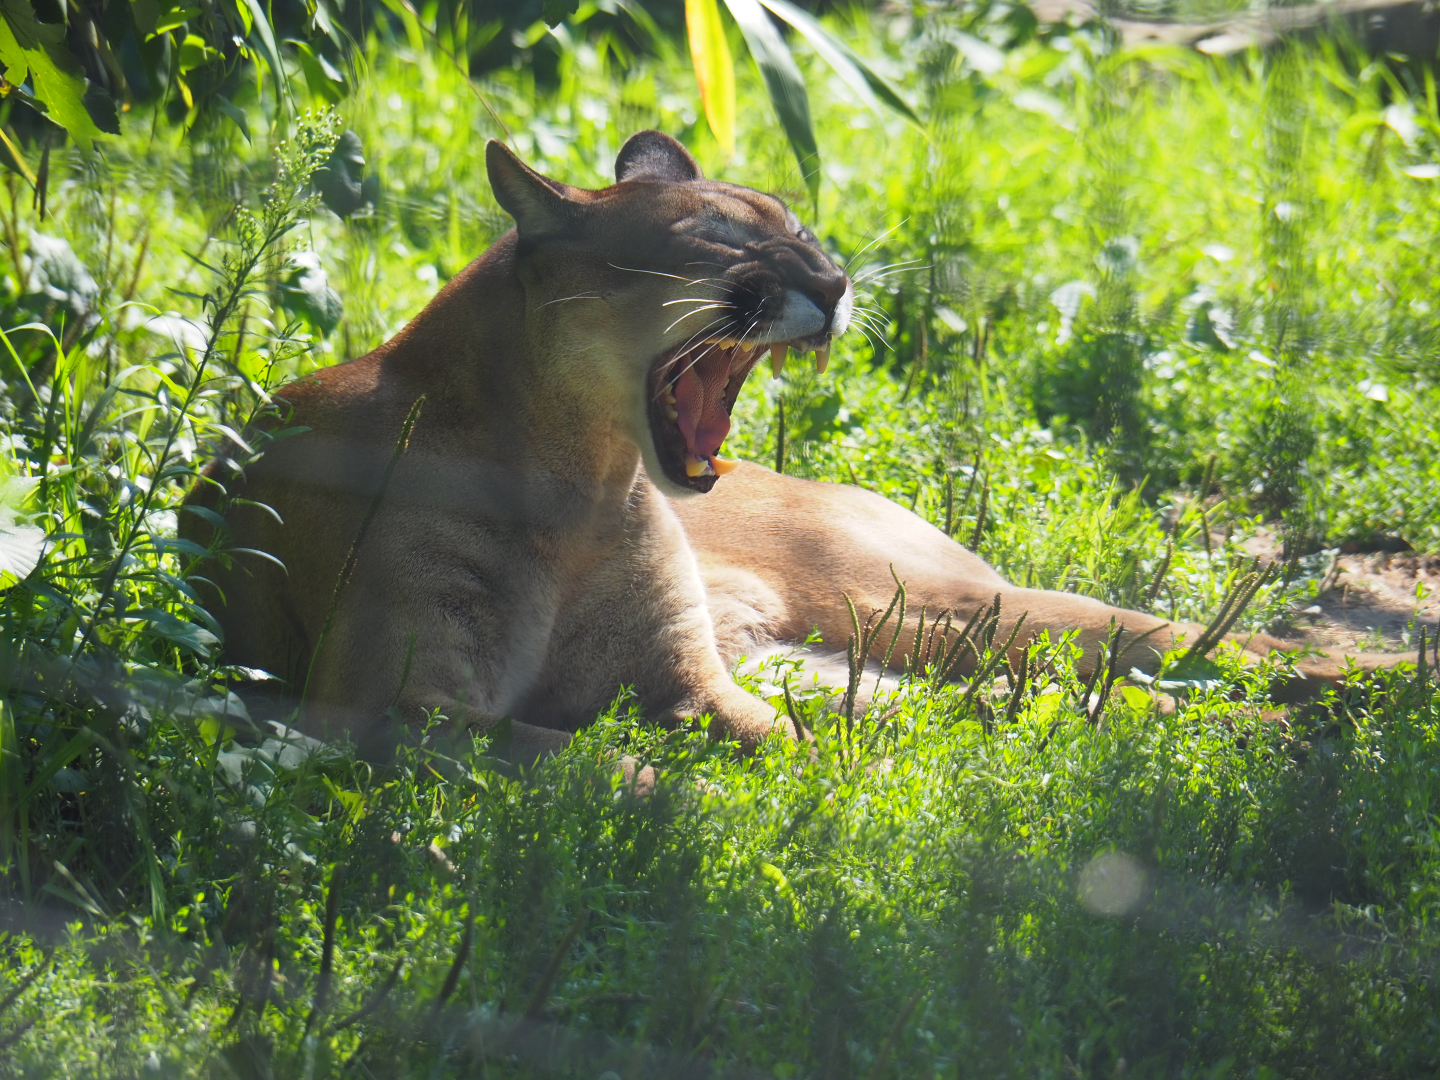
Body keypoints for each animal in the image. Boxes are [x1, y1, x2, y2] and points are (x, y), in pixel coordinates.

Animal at [184, 131, 1402, 763]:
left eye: (803, 231)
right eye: (720, 241)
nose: (836, 280)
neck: (583, 482)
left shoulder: (685, 679)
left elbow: (769, 744)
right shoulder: (398, 704)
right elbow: (555, 749)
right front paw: (662, 798)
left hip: (927, 603)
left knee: (1178, 643)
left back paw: (1365, 694)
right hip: (897, 645)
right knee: (1064, 695)